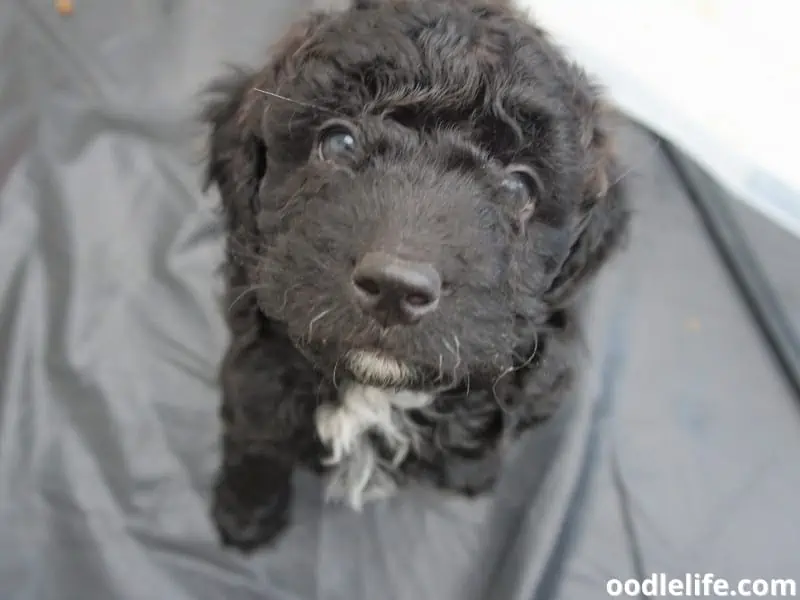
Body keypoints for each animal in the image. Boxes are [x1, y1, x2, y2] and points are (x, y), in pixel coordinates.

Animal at [202, 0, 632, 552]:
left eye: (518, 188)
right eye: (339, 142)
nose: (396, 288)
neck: (378, 388)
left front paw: (469, 472)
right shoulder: (257, 352)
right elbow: (259, 426)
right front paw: (246, 509)